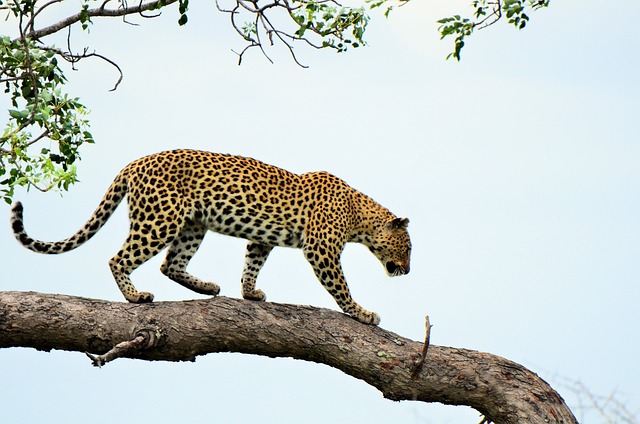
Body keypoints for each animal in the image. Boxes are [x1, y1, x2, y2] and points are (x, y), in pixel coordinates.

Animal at [10, 149, 412, 324]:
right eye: (408, 247)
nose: (408, 270)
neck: (359, 216)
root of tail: (134, 162)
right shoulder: (321, 249)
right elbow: (340, 286)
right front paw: (362, 313)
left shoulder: (263, 238)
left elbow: (252, 262)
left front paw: (250, 293)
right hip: (159, 220)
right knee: (119, 258)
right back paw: (136, 297)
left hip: (192, 225)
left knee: (171, 264)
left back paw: (206, 287)